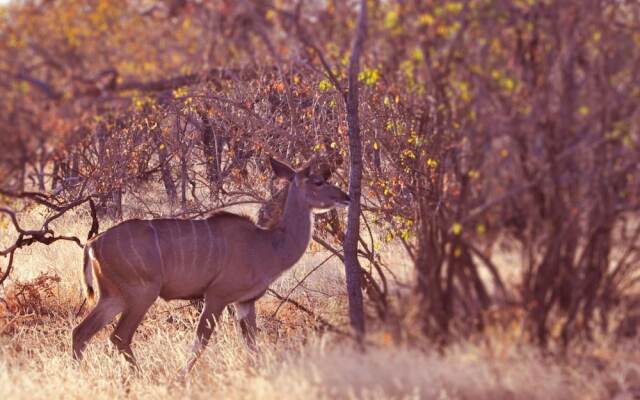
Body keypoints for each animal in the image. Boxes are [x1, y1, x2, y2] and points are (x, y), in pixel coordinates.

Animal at [72, 157, 350, 372]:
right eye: (318, 181)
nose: (345, 197)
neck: (266, 245)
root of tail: (92, 244)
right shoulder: (217, 296)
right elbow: (201, 341)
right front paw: (181, 377)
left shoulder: (245, 302)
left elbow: (252, 344)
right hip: (142, 294)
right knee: (119, 336)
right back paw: (139, 376)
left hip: (113, 297)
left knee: (81, 333)